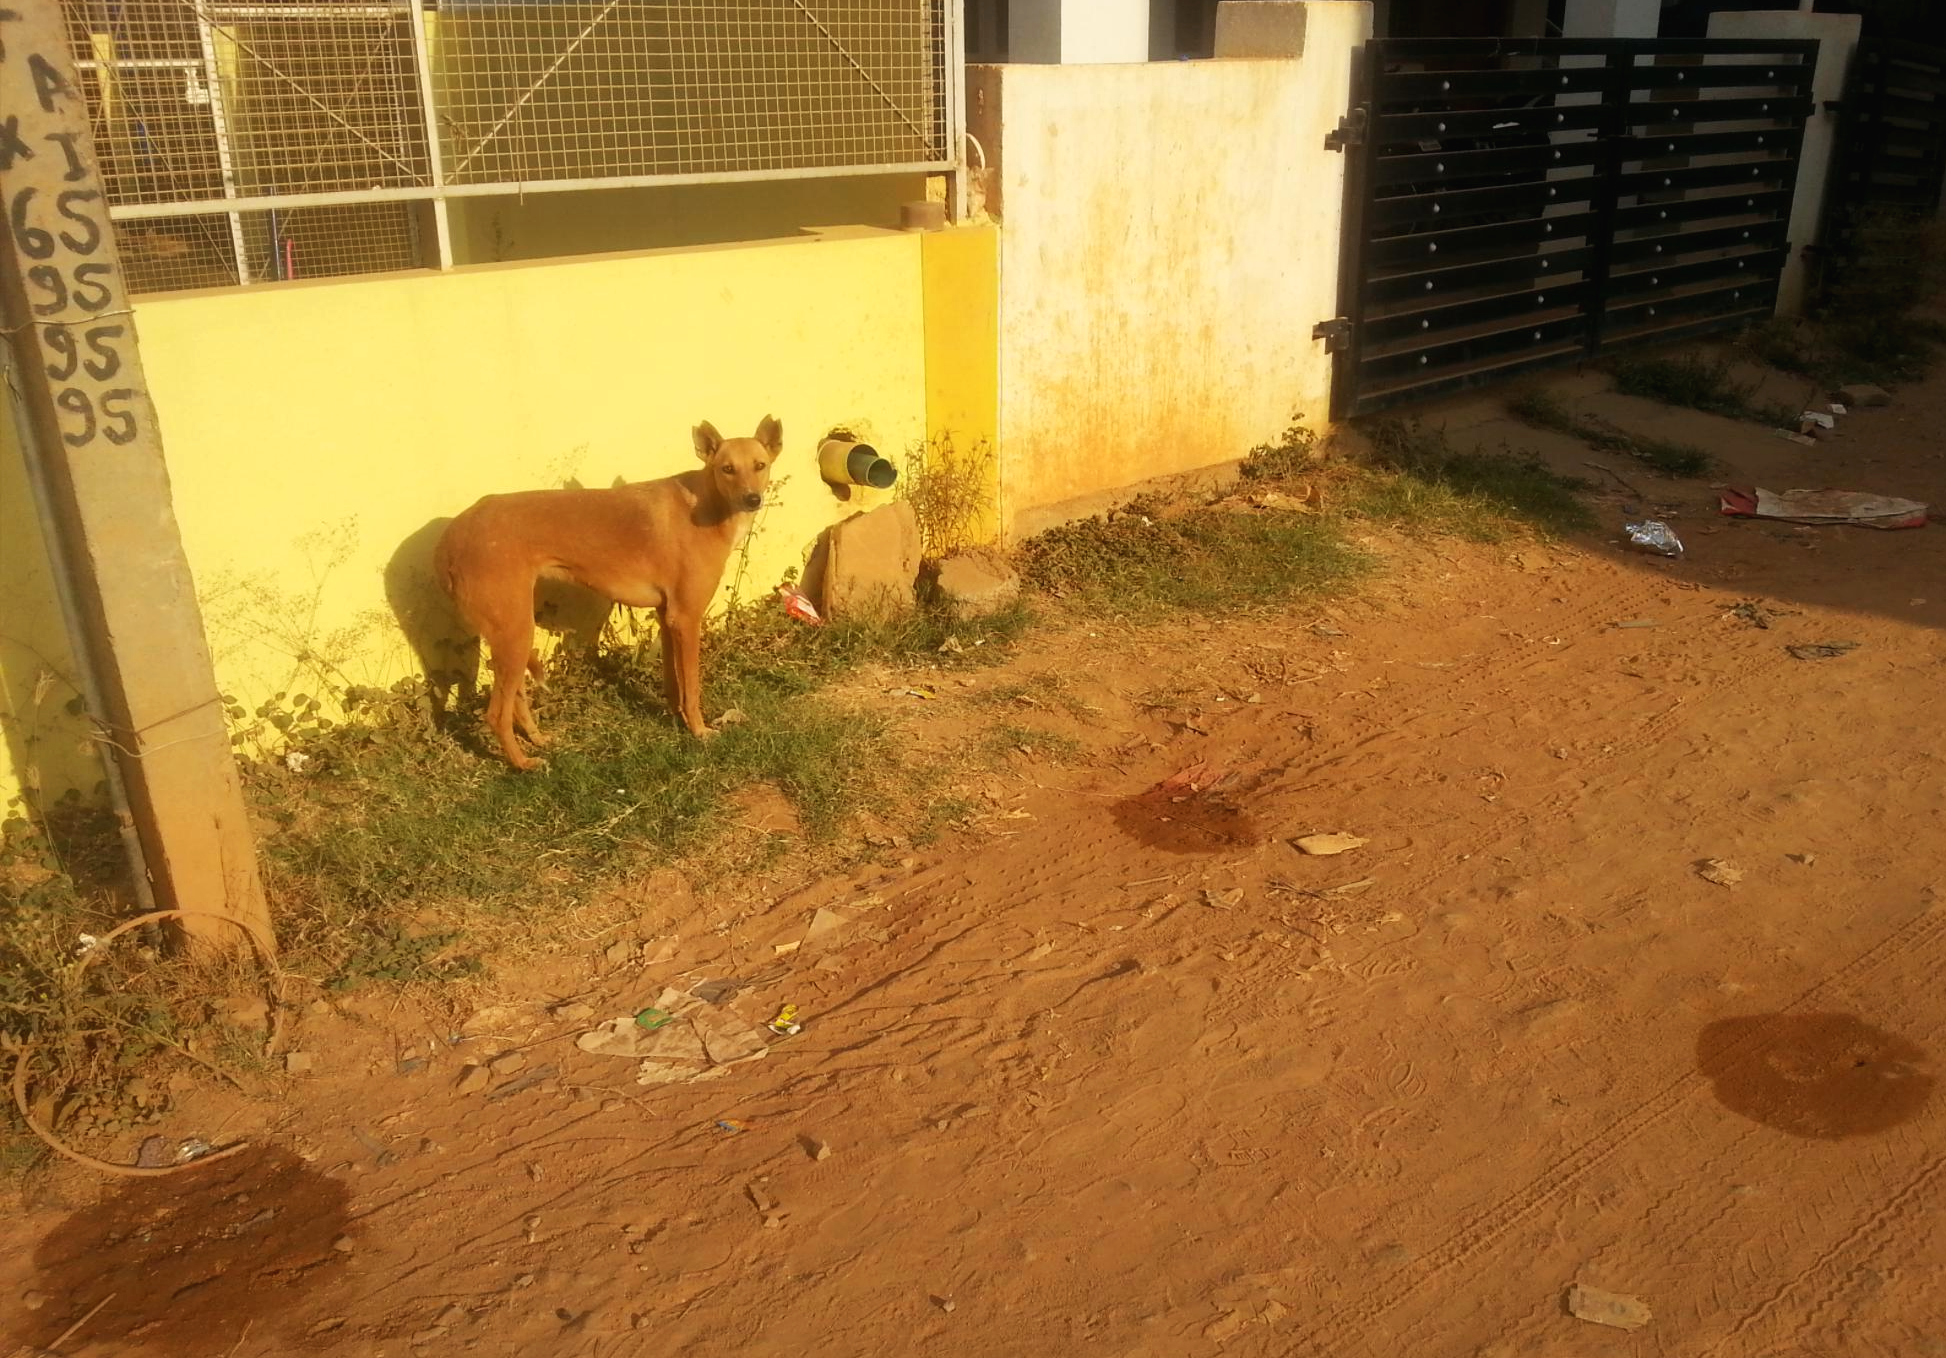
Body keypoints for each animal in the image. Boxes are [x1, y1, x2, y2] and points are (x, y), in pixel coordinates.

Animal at [435, 418, 782, 766]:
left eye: (760, 465)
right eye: (727, 469)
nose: (752, 499)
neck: (705, 503)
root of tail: (452, 535)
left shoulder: (667, 617)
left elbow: (674, 683)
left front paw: (676, 719)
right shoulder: (687, 619)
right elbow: (693, 687)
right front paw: (699, 731)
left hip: (513, 636)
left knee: (515, 701)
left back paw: (537, 740)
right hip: (515, 634)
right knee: (496, 714)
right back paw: (522, 764)